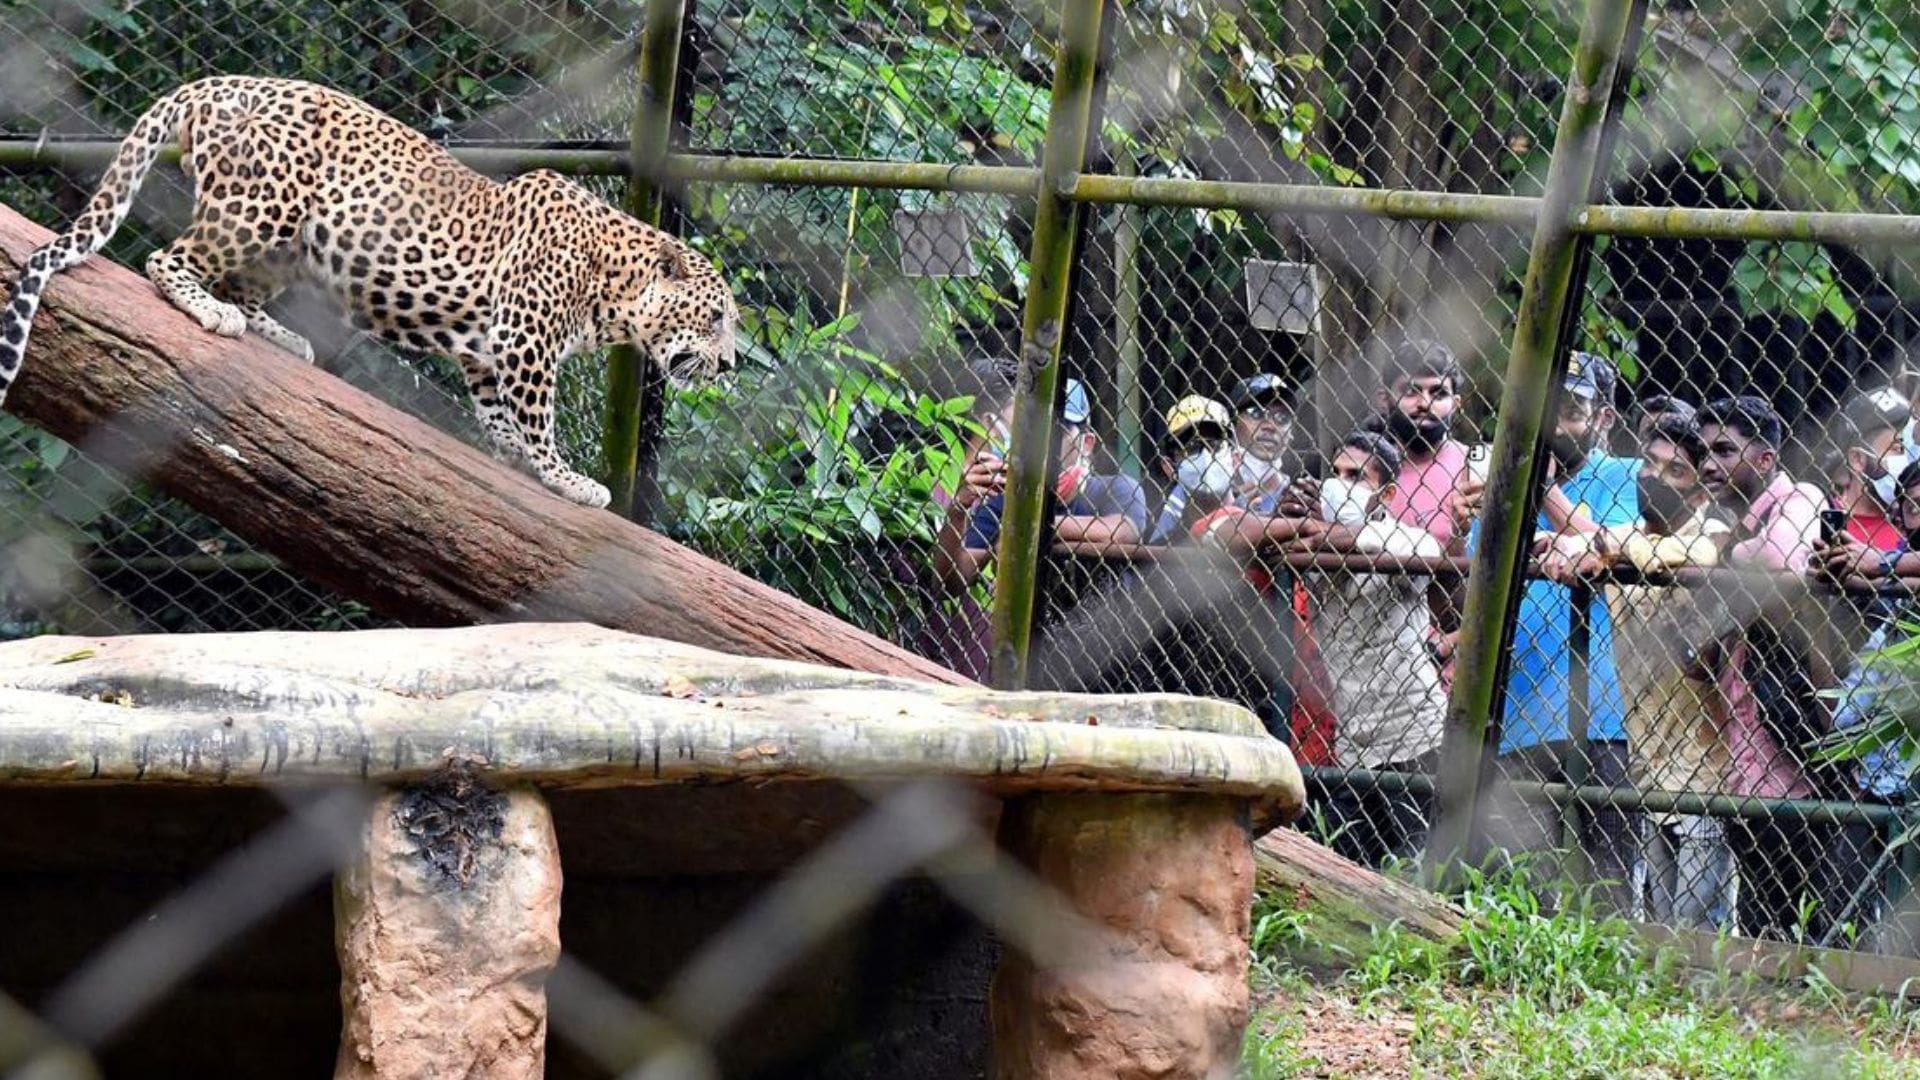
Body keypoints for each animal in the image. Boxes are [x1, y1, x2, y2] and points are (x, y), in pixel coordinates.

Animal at [0, 75, 733, 503]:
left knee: (242, 284)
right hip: (260, 206)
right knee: (168, 258)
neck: (616, 291)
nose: (728, 363)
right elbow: (536, 418)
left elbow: (498, 414)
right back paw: (211, 311)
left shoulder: (489, 352)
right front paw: (567, 478)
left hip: (288, 239)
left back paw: (280, 334)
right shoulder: (524, 342)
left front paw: (519, 460)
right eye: (719, 316)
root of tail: (215, 81)